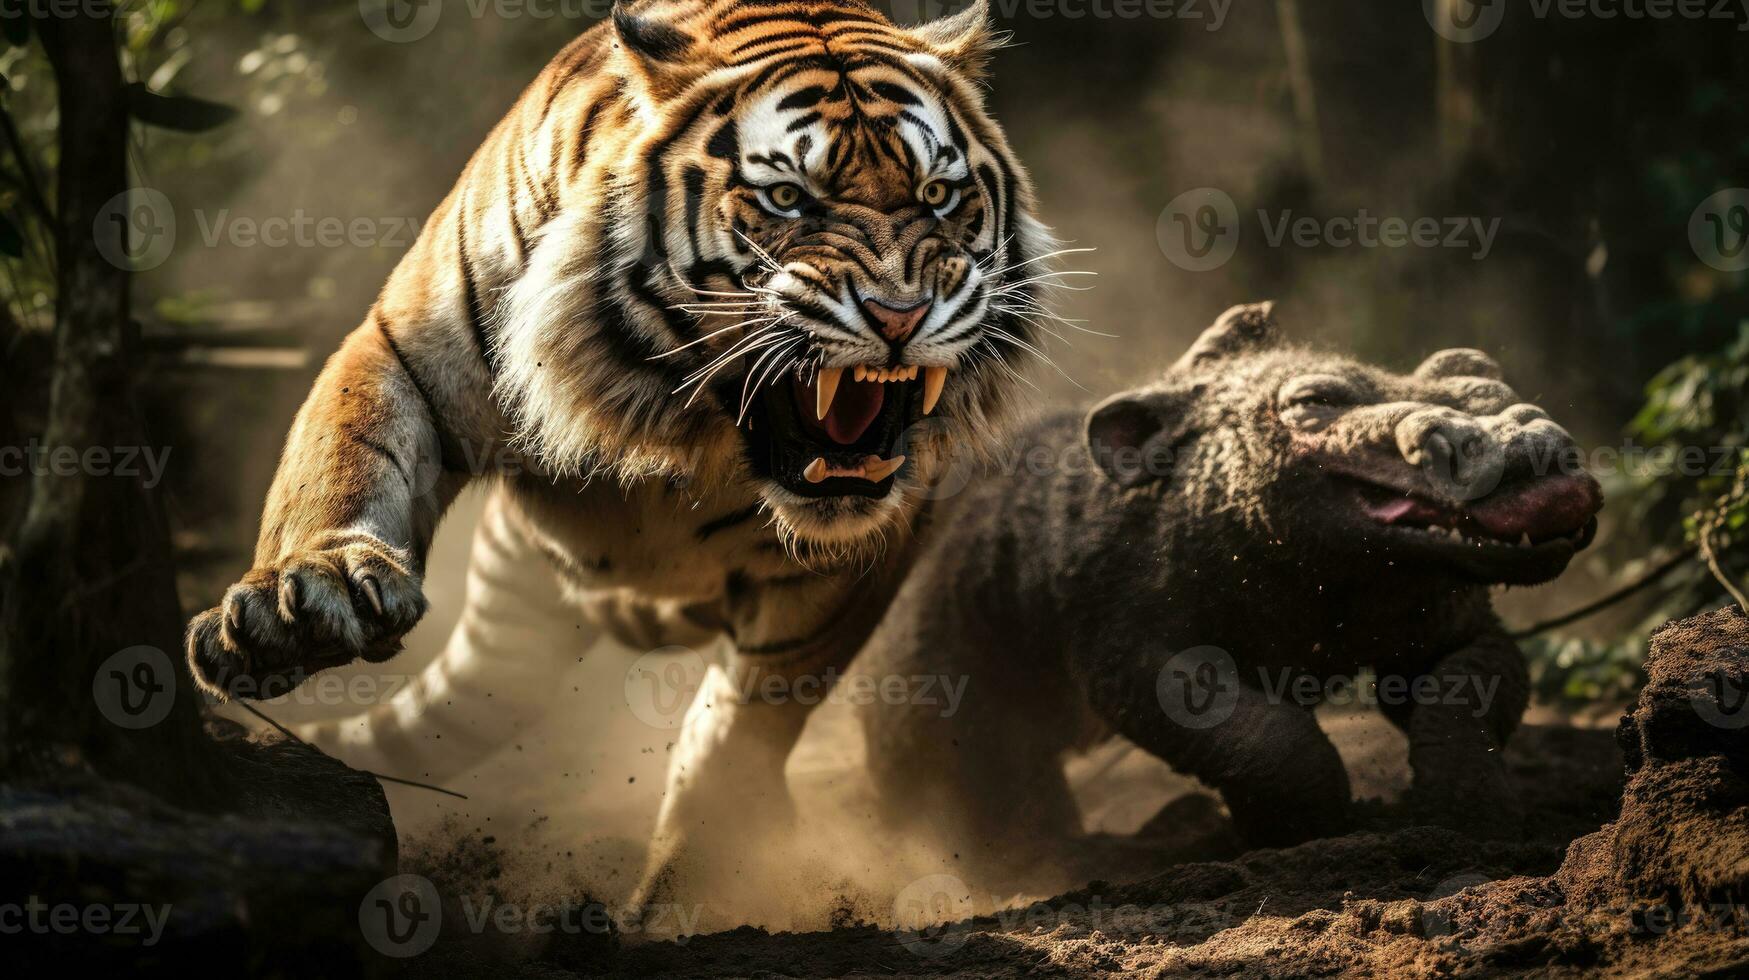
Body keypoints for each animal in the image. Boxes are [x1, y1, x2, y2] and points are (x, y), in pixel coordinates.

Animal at [181, 0, 1049, 917]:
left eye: (938, 195)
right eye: (786, 198)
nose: (899, 315)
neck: (684, 417)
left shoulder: (859, 551)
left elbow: (740, 731)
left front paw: (696, 892)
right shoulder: (405, 345)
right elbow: (341, 458)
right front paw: (303, 602)